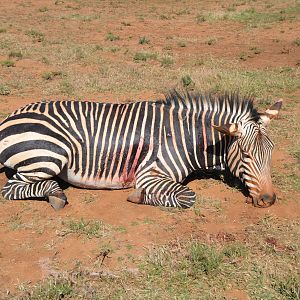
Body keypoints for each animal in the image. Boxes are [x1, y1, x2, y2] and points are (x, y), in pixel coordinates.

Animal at [0, 90, 282, 210]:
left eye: (271, 153)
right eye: (245, 155)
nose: (269, 200)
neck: (186, 137)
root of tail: (9, 117)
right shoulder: (150, 173)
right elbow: (187, 197)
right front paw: (138, 196)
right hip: (49, 156)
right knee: (11, 189)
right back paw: (55, 194)